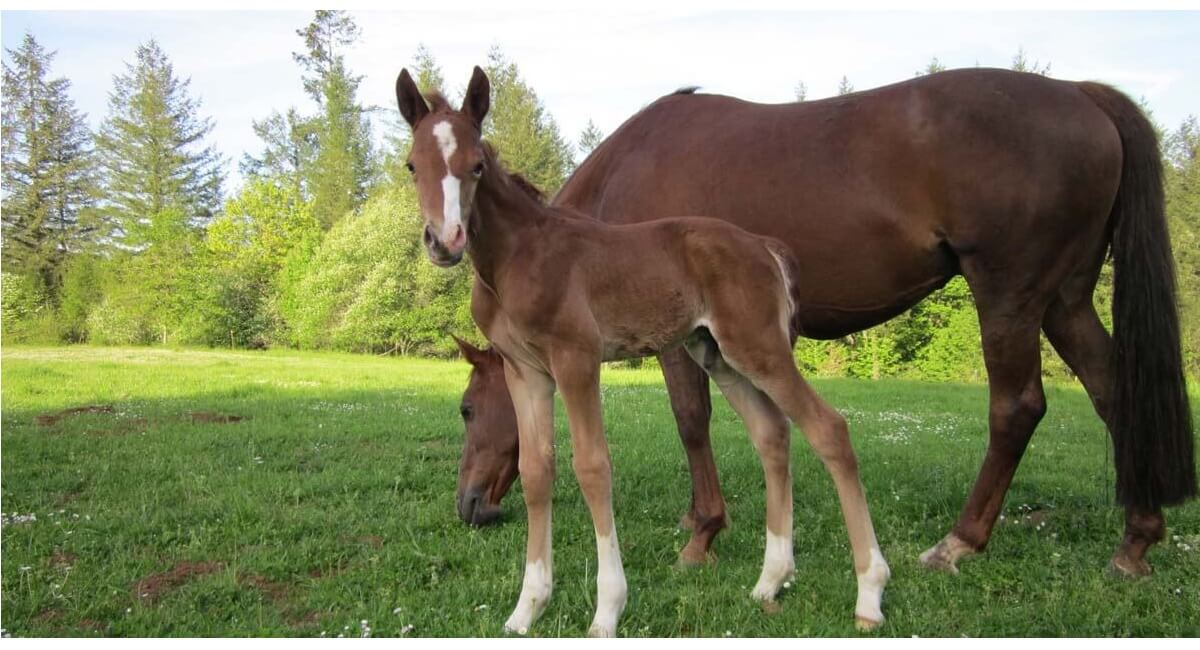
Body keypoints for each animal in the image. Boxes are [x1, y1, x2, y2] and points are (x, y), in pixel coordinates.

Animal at [396, 66, 891, 637]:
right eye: (413, 165)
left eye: (476, 165)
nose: (445, 240)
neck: (520, 255)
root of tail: (766, 247)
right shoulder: (526, 371)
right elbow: (537, 471)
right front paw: (527, 608)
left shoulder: (576, 359)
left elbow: (593, 467)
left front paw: (607, 610)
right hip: (719, 355)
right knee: (772, 434)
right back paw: (770, 581)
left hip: (759, 348)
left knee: (829, 429)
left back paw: (869, 594)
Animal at [451, 67, 1196, 577]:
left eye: (465, 408)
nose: (468, 508)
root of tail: (1080, 93)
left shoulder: (674, 338)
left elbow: (692, 421)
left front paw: (702, 532)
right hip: (1064, 300)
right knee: (1112, 392)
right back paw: (1136, 539)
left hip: (1010, 296)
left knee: (1016, 408)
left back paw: (959, 541)